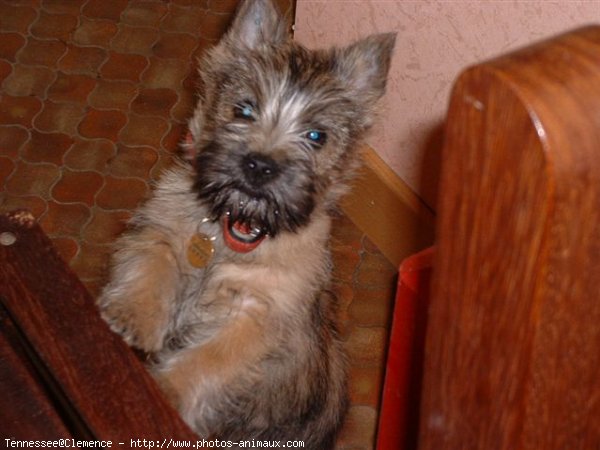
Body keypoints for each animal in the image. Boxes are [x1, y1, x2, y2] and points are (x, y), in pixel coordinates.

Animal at [98, 0, 396, 446]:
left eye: (316, 136)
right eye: (244, 109)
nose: (260, 165)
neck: (236, 226)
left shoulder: (256, 314)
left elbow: (209, 358)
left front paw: (166, 389)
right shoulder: (162, 225)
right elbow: (154, 262)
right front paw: (134, 316)